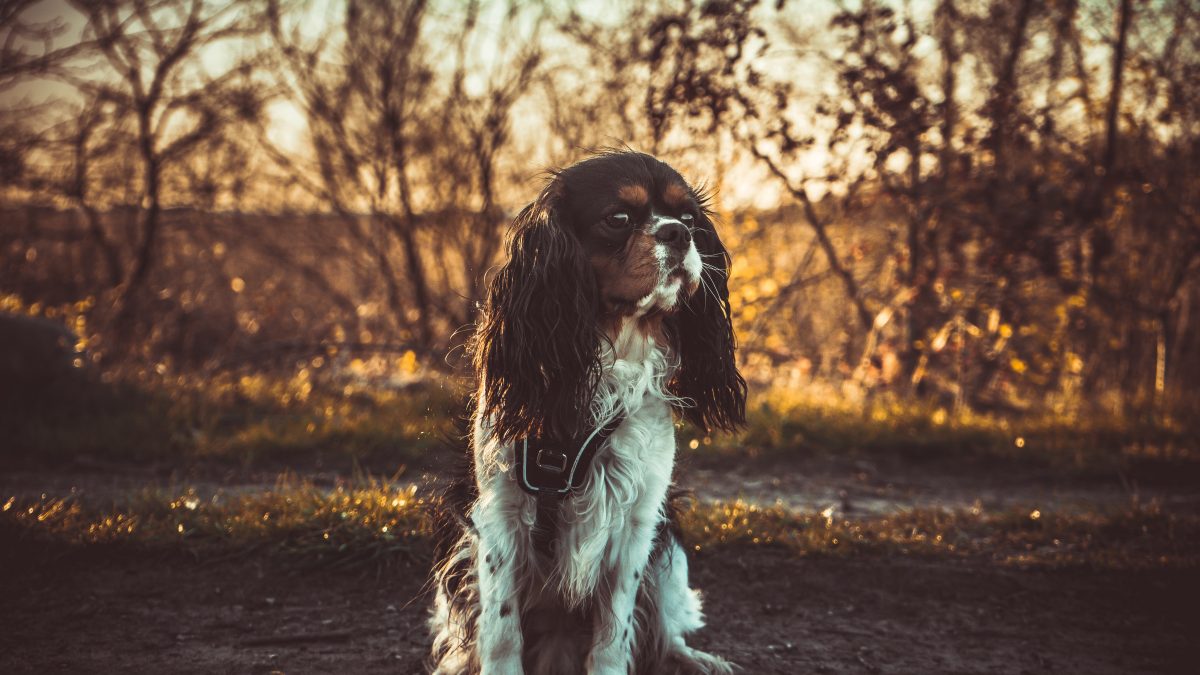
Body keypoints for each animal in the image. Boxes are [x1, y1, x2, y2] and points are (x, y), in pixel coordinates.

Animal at [432, 152, 744, 672]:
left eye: (689, 218)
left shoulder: (638, 520)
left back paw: (695, 659)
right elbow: (501, 629)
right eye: (617, 218)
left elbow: (615, 630)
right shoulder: (500, 514)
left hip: (670, 550)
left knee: (664, 630)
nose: (677, 234)